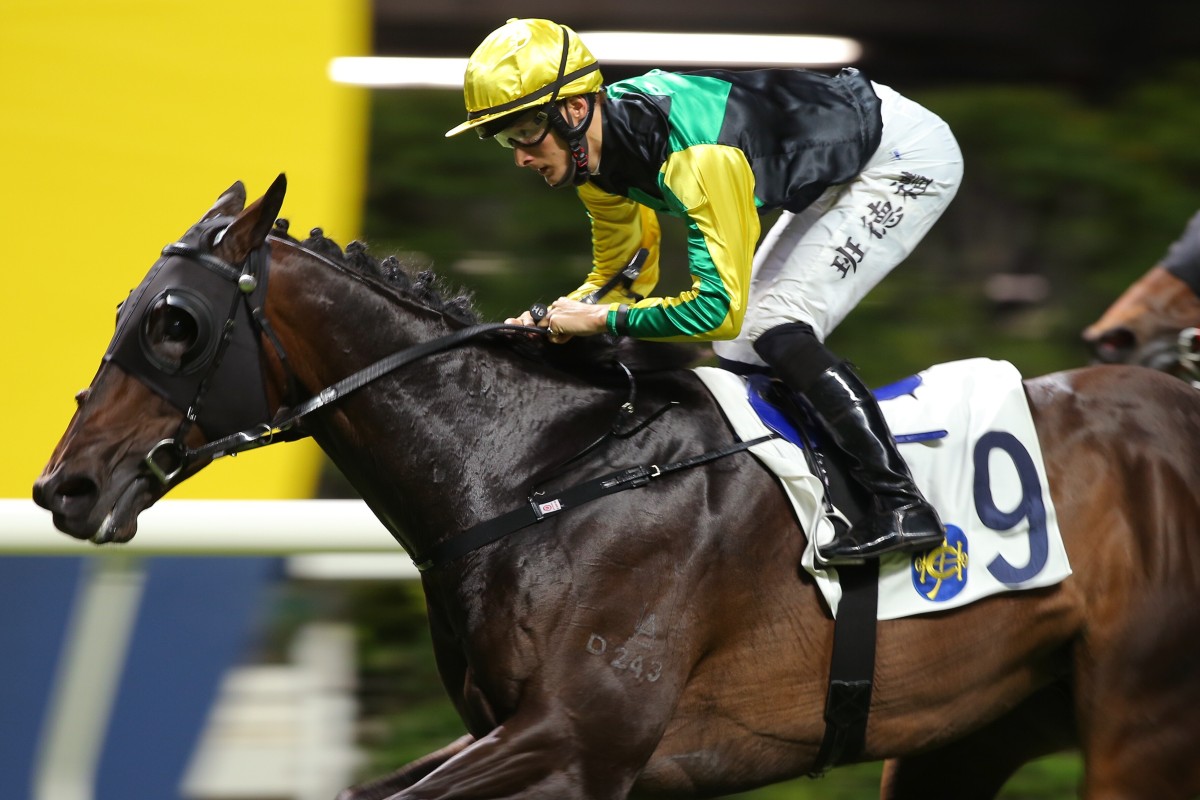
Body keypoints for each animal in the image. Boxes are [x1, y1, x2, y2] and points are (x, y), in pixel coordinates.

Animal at [32, 176, 1200, 800]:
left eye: (173, 323)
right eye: (131, 309)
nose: (63, 485)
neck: (539, 475)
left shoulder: (584, 735)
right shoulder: (531, 736)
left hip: (1137, 721)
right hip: (969, 731)